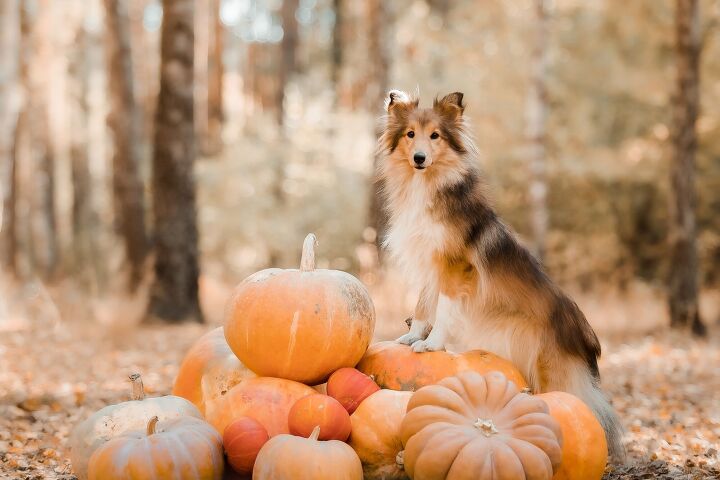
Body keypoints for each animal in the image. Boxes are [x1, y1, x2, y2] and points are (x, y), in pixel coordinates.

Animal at [376, 89, 624, 458]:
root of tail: (588, 337)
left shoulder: (454, 267)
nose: (420, 158)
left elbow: (444, 309)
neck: (427, 184)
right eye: (410, 135)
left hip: (552, 371)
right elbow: (423, 305)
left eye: (435, 136)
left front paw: (432, 344)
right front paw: (411, 337)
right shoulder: (430, 265)